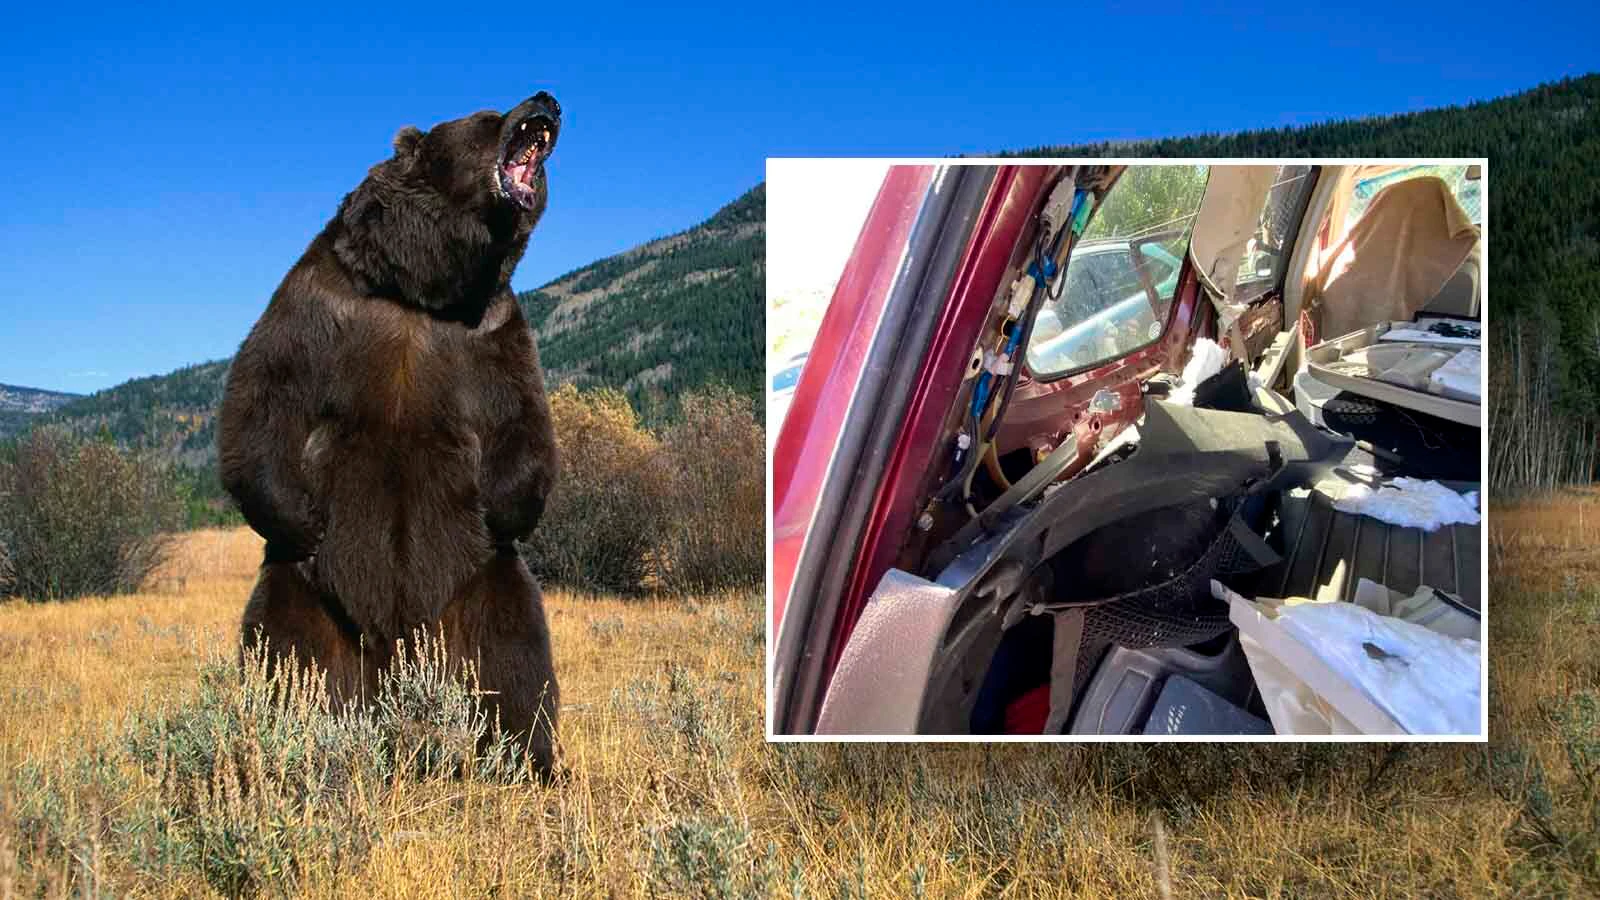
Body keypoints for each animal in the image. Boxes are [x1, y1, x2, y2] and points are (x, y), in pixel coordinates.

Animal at [218, 92, 564, 775]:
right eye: (489, 115)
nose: (547, 99)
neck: (421, 291)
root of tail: (392, 661)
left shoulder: (493, 333)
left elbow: (522, 418)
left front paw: (505, 506)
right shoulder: (320, 303)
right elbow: (262, 396)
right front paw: (299, 516)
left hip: (481, 589)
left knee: (514, 665)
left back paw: (530, 762)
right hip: (307, 596)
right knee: (284, 659)